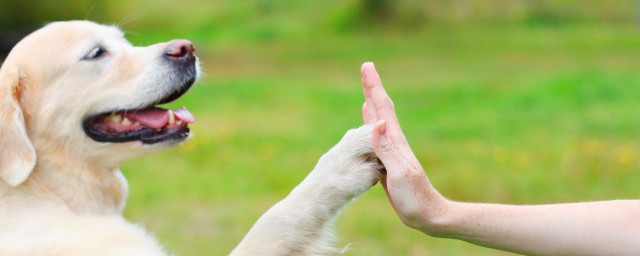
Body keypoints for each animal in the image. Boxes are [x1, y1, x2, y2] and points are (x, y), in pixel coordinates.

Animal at [0, 21, 382, 255]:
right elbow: (277, 218)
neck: (50, 192)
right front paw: (343, 163)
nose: (187, 48)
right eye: (96, 53)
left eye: (123, 40)